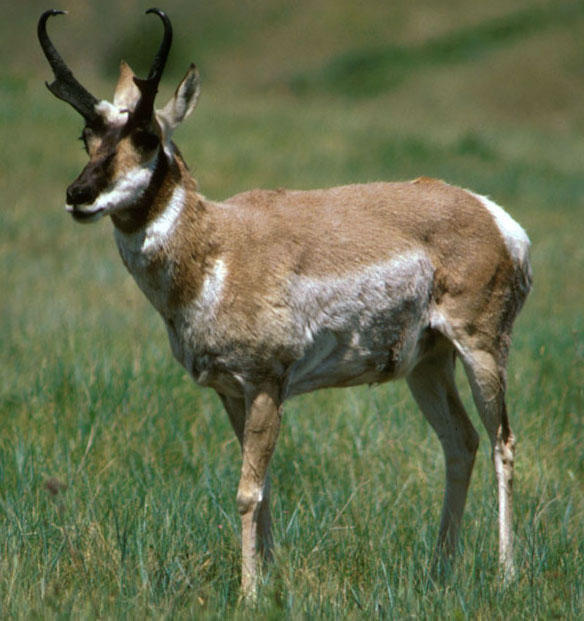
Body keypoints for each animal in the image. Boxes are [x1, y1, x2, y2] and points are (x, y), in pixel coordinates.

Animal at [40, 6, 532, 596]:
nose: (78, 195)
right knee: (461, 443)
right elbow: (265, 486)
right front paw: (270, 581)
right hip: (426, 364)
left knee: (503, 443)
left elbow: (247, 491)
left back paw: (505, 574)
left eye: (146, 135)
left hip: (481, 349)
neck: (217, 246)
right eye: (86, 135)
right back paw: (440, 569)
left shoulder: (266, 384)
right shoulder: (231, 392)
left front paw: (250, 592)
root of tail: (492, 215)